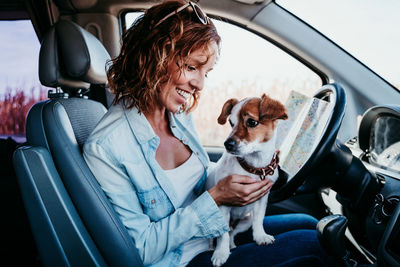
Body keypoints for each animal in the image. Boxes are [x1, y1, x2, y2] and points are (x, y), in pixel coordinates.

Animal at [206, 94, 288, 267]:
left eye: (251, 122)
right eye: (231, 123)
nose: (227, 144)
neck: (254, 167)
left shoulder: (262, 199)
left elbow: (259, 220)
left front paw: (260, 237)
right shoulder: (223, 205)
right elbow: (222, 235)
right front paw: (221, 253)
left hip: (245, 221)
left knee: (232, 232)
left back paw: (232, 244)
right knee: (219, 235)